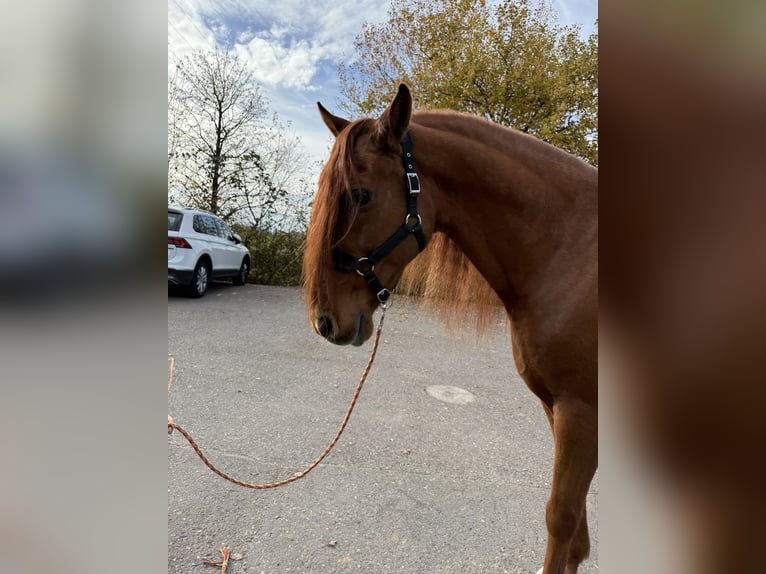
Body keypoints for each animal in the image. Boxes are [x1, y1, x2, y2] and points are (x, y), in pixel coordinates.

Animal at [302, 84, 597, 574]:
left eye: (361, 196)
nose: (324, 321)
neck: (568, 251)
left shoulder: (580, 410)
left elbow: (561, 517)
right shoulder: (556, 408)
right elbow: (576, 535)